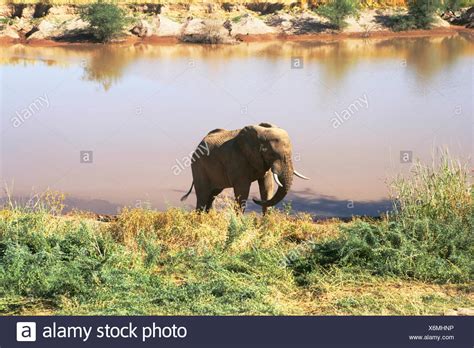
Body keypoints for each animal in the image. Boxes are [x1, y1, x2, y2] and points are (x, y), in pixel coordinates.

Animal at [180, 123, 310, 213]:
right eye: (272, 154)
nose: (255, 198)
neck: (260, 133)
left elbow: (267, 186)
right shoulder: (237, 159)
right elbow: (242, 191)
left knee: (212, 195)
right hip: (198, 167)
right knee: (203, 196)